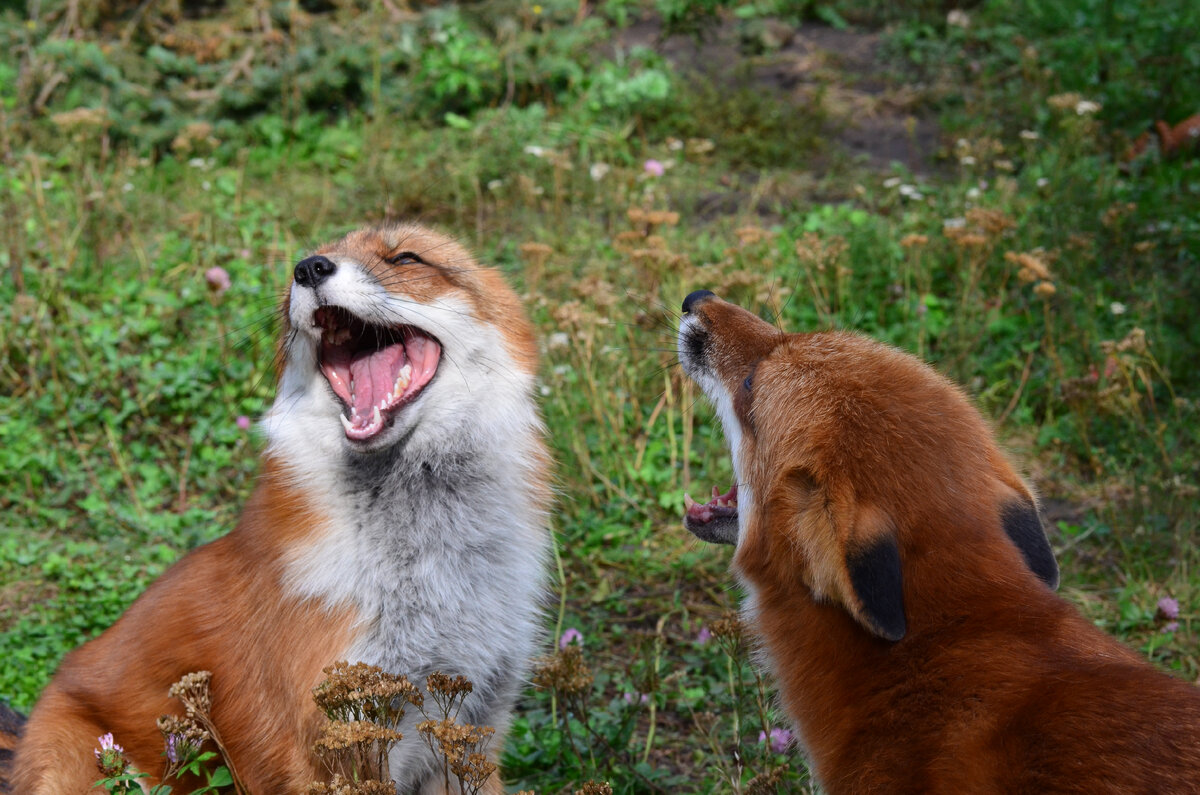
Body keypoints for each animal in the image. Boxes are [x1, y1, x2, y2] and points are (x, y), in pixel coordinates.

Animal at [8, 220, 552, 792]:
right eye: (308, 261)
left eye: (406, 258)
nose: (309, 268)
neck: (430, 577)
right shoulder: (334, 743)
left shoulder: (471, 731)